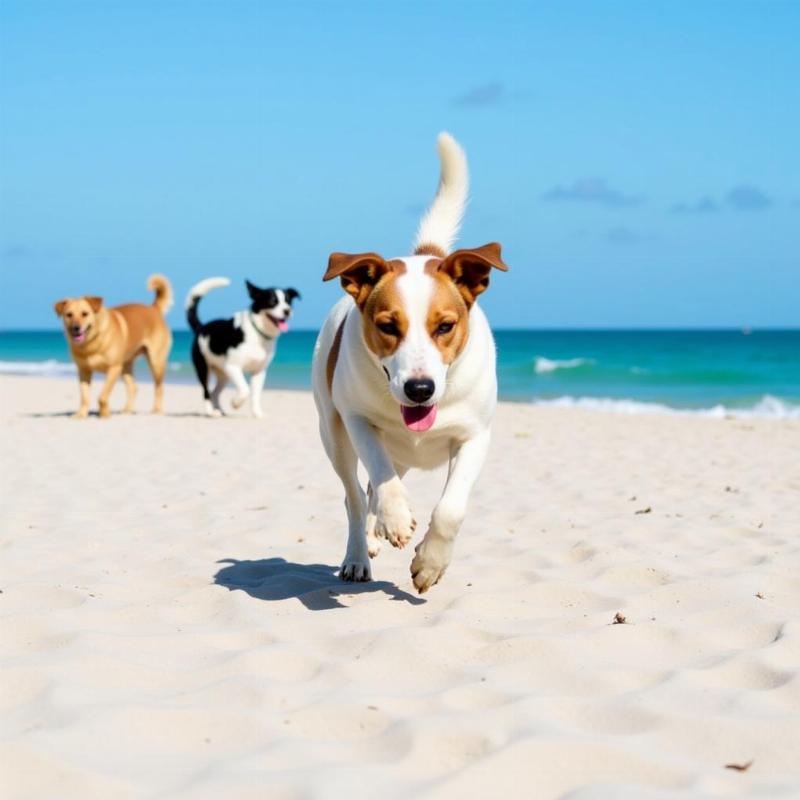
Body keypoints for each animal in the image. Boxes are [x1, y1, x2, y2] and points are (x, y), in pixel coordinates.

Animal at [54, 276, 173, 418]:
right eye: (69, 315)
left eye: (85, 314)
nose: (75, 328)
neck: (92, 344)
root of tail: (153, 308)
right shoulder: (84, 371)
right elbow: (85, 397)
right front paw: (81, 415)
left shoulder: (114, 368)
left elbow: (102, 396)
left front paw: (105, 414)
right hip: (126, 366)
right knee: (133, 388)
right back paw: (127, 411)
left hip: (156, 362)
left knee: (159, 388)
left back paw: (156, 410)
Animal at [184, 278, 300, 418]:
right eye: (272, 301)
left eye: (288, 301)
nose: (287, 311)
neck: (257, 333)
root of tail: (201, 327)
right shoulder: (233, 367)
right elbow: (245, 389)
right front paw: (235, 403)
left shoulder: (259, 372)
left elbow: (255, 395)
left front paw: (258, 414)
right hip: (204, 368)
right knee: (206, 392)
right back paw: (211, 412)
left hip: (224, 374)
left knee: (214, 392)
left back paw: (220, 410)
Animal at [310, 133, 506, 592]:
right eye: (387, 325)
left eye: (445, 326)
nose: (420, 389)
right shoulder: (358, 420)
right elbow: (381, 477)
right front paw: (396, 520)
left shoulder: (475, 436)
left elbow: (451, 508)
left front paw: (430, 563)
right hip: (333, 433)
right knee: (355, 496)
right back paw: (358, 554)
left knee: (368, 492)